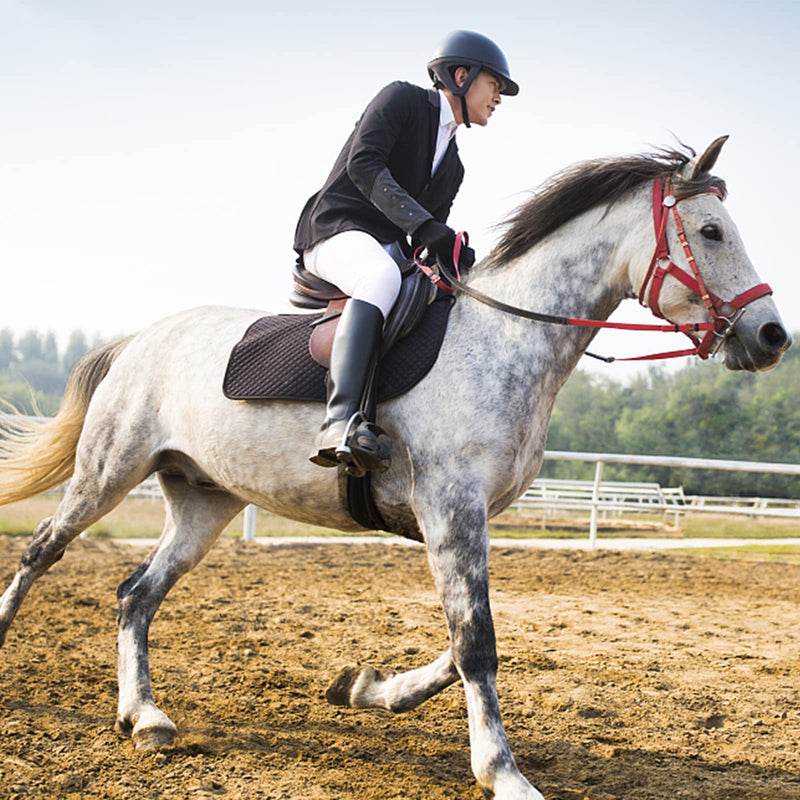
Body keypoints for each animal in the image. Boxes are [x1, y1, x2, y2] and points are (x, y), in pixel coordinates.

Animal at [0, 137, 790, 800]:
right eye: (713, 232)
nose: (771, 335)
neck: (506, 337)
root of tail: (140, 338)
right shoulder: (450, 507)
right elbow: (477, 641)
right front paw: (503, 774)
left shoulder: (461, 519)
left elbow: (466, 638)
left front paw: (366, 689)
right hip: (108, 470)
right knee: (42, 551)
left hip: (204, 503)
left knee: (136, 594)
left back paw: (147, 717)